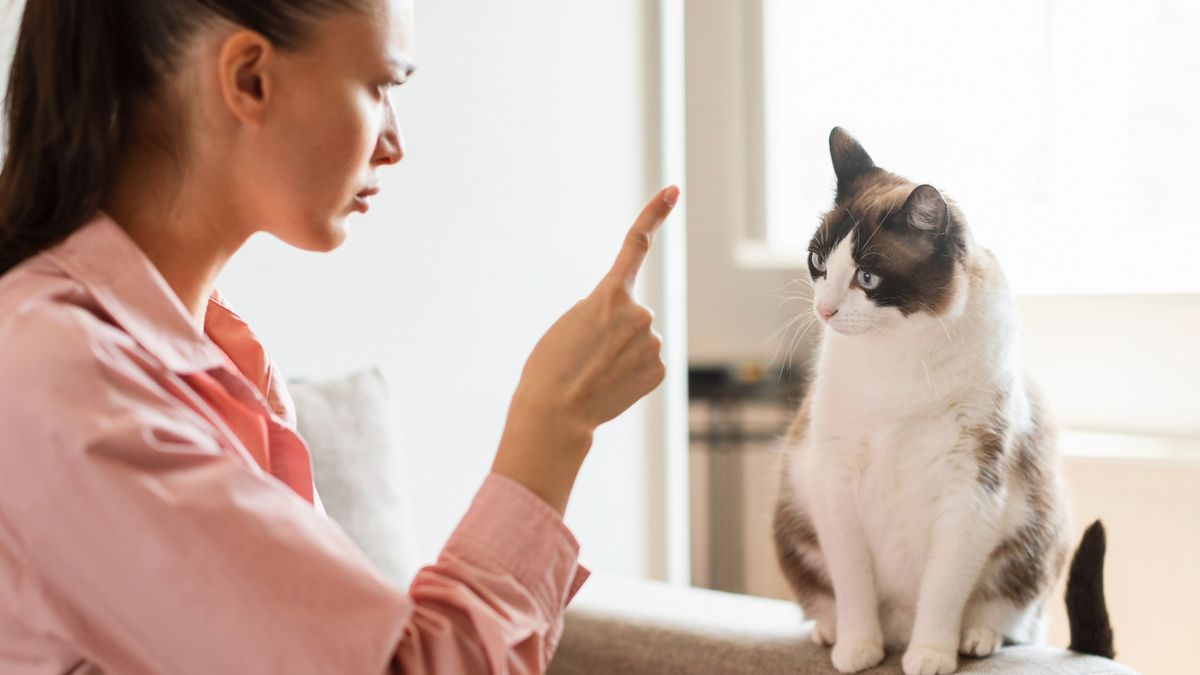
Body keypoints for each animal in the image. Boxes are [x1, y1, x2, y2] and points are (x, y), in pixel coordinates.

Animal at [772, 127, 1108, 672]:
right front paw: (857, 649)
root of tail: (898, 628)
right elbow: (852, 583)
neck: (897, 356)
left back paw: (975, 638)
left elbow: (944, 587)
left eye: (868, 278)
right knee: (828, 595)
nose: (824, 310)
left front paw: (931, 653)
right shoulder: (834, 476)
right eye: (818, 263)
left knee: (1010, 615)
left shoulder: (970, 485)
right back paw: (832, 631)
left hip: (1036, 542)